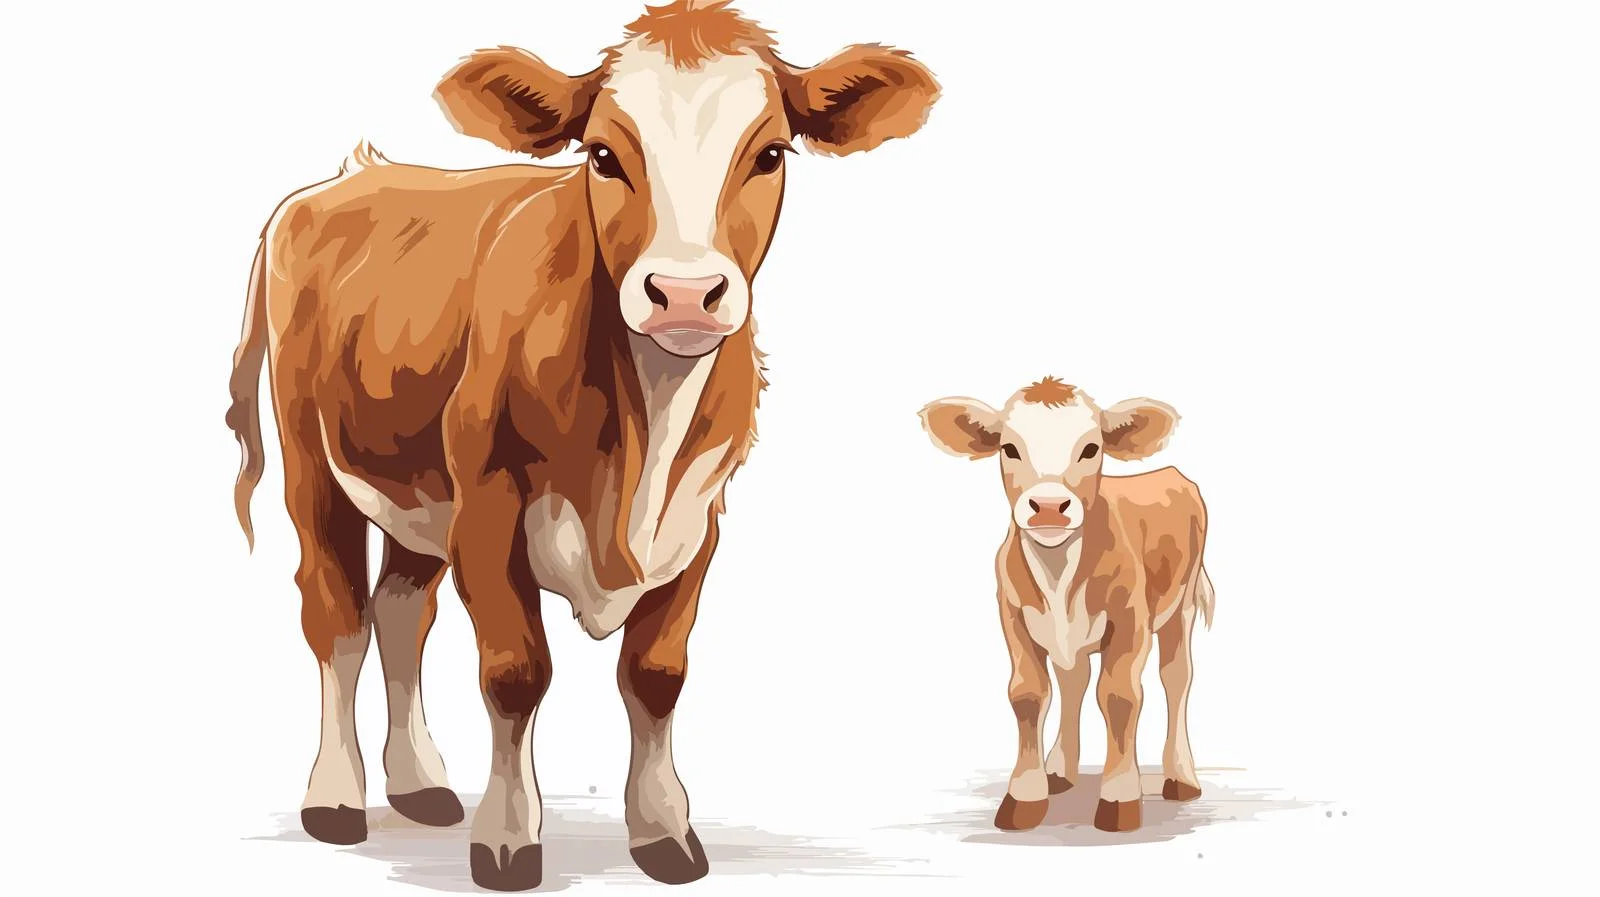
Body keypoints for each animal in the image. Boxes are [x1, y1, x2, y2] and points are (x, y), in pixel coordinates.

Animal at [225, 2, 938, 889]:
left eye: (770, 152)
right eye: (602, 155)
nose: (684, 294)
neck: (638, 445)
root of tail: (349, 176)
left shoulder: (700, 516)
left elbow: (657, 674)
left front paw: (663, 830)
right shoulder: (487, 507)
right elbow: (514, 670)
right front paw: (507, 839)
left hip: (415, 486)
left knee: (400, 609)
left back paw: (420, 782)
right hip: (311, 461)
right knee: (338, 615)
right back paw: (335, 796)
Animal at [918, 377, 1214, 834]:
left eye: (1091, 448)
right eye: (1009, 447)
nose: (1049, 507)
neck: (1059, 573)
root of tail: (1168, 473)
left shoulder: (1131, 622)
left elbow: (1119, 696)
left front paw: (1119, 798)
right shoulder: (1013, 616)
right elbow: (1027, 694)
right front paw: (1025, 796)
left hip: (1180, 606)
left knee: (1177, 677)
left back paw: (1181, 776)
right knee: (1074, 681)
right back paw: (1059, 769)